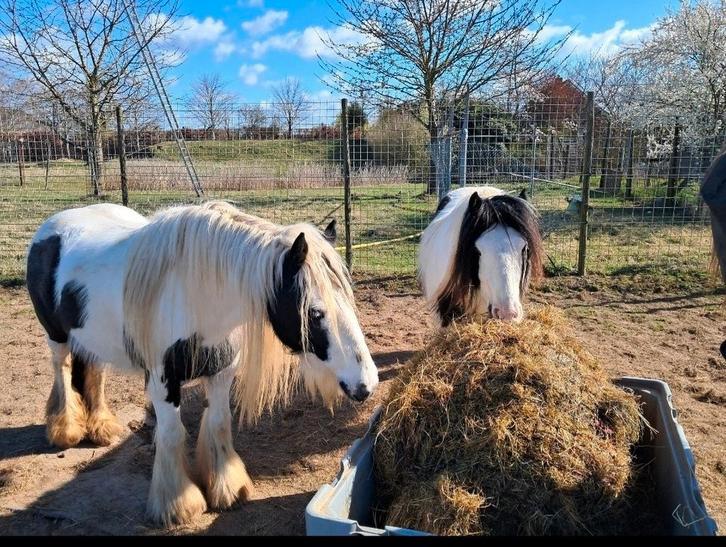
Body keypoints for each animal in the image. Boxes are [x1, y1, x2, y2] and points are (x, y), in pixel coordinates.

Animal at [25, 200, 379, 526]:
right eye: (314, 312)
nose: (366, 383)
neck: (197, 299)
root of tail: (53, 226)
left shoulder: (221, 374)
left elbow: (220, 423)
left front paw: (227, 489)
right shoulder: (162, 382)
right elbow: (172, 434)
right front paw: (177, 505)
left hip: (91, 339)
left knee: (94, 375)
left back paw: (101, 428)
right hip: (57, 336)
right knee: (62, 371)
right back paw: (66, 430)